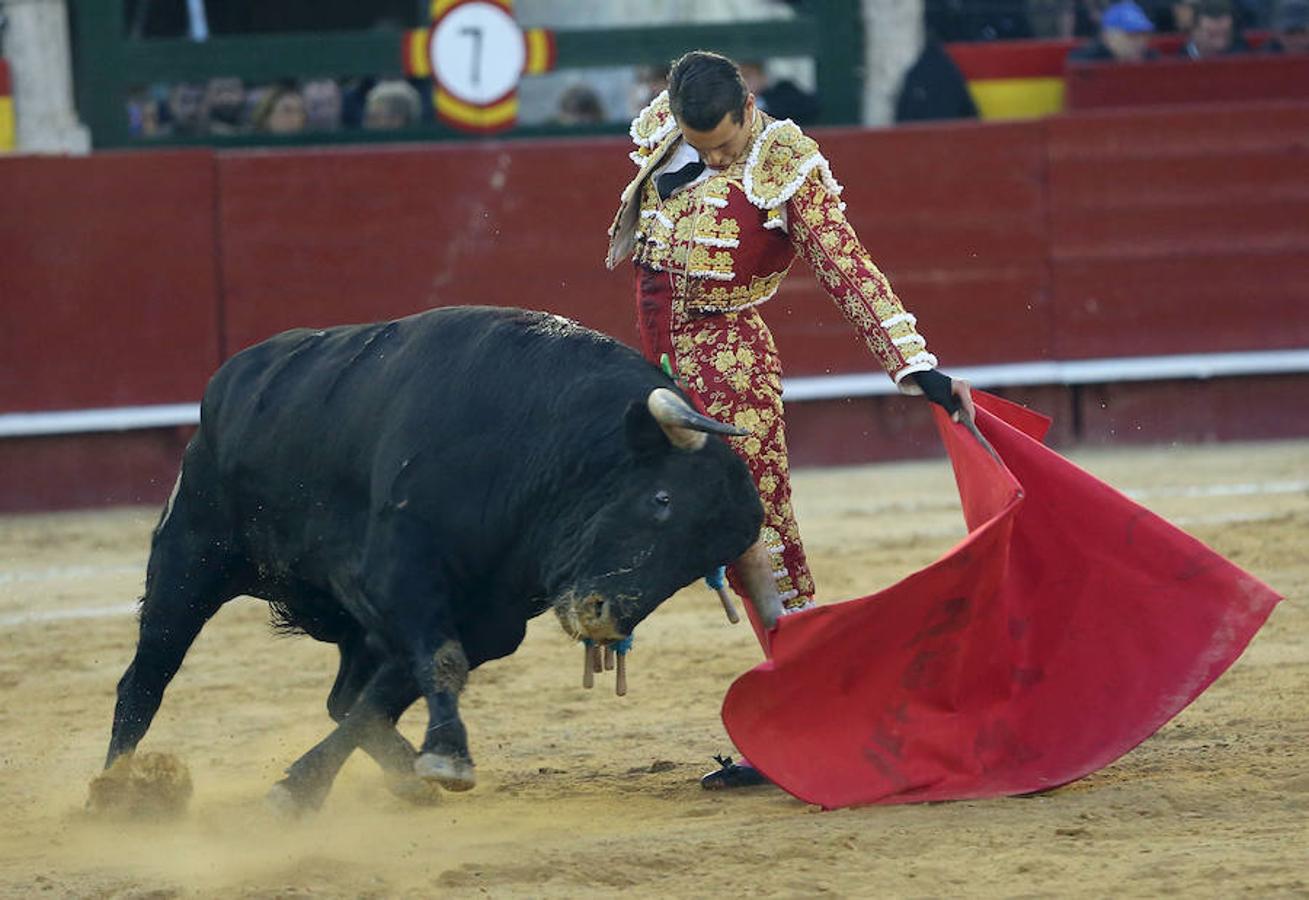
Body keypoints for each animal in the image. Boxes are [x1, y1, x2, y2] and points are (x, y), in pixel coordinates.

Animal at [107, 306, 780, 811]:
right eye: (661, 500)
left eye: (697, 565)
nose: (603, 616)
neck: (536, 443)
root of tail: (229, 381)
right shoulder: (401, 575)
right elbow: (436, 665)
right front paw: (446, 760)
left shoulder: (491, 622)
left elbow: (388, 694)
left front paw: (316, 786)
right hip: (190, 559)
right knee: (147, 675)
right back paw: (112, 795)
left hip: (350, 623)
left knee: (345, 696)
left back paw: (401, 777)